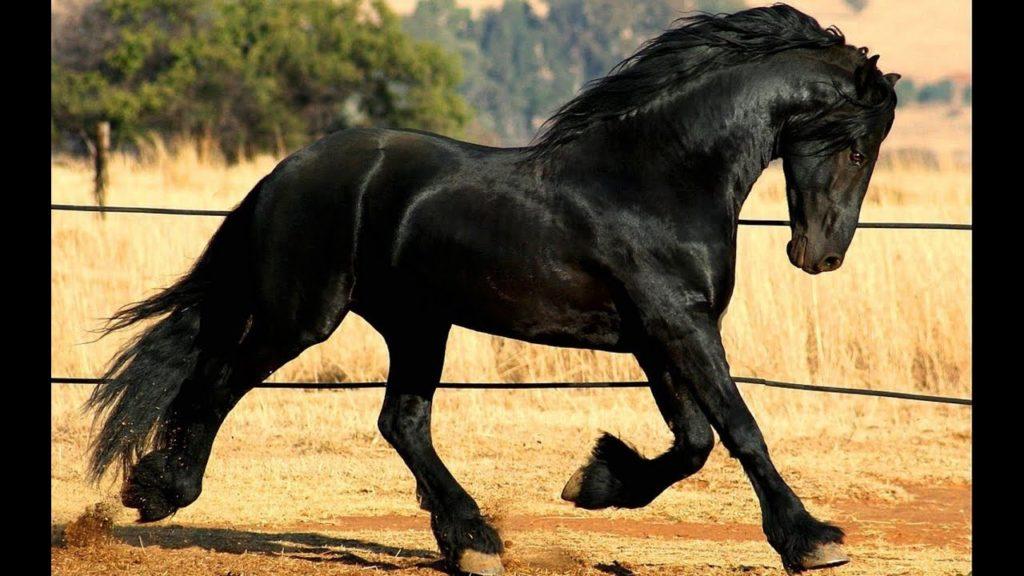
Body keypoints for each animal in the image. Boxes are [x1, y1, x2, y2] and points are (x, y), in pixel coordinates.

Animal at [85, 5, 899, 575]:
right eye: (858, 147)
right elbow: (739, 428)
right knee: (220, 381)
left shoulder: (658, 335)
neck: (659, 176)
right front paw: (812, 540)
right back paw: (158, 490)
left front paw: (594, 481)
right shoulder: (679, 326)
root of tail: (285, 173)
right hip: (304, 315)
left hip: (418, 324)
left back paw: (470, 538)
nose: (821, 255)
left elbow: (693, 441)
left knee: (401, 422)